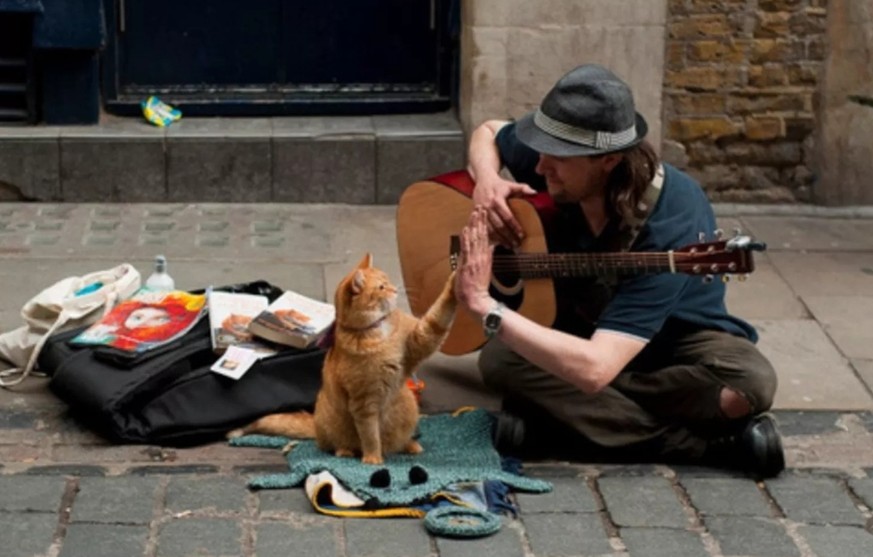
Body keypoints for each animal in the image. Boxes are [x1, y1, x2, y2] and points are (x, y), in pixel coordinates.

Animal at [225, 253, 456, 464]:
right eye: (382, 287)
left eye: (388, 280)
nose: (396, 289)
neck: (378, 330)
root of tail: (315, 423)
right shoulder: (363, 403)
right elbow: (370, 436)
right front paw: (373, 459)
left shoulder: (422, 338)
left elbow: (438, 315)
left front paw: (455, 281)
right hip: (335, 427)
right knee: (339, 444)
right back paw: (346, 451)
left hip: (408, 406)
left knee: (396, 442)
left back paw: (409, 445)